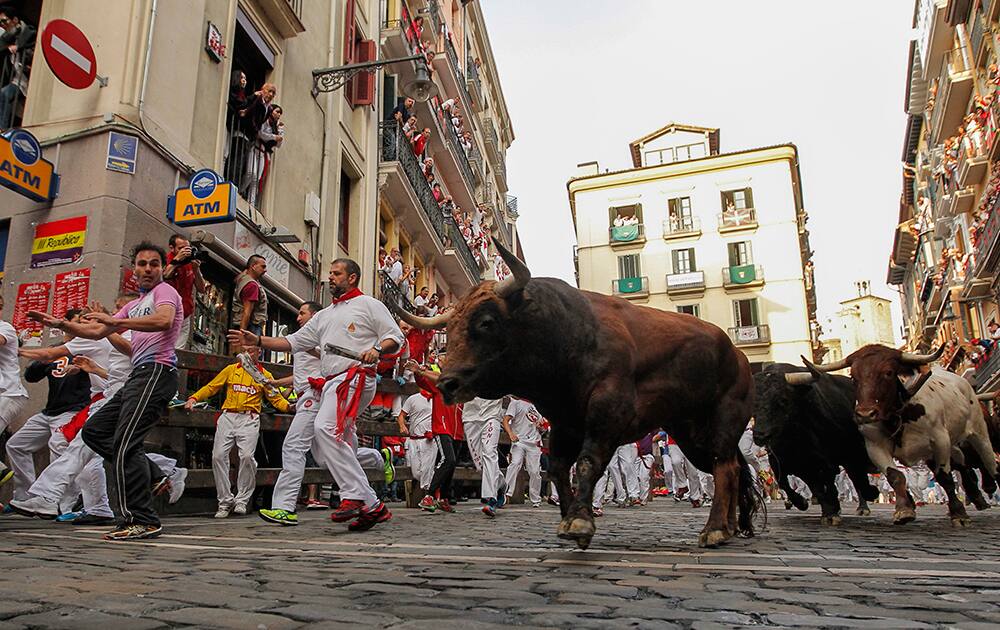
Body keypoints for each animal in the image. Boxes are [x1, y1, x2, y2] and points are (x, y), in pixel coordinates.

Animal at [394, 239, 760, 552]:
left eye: (486, 322)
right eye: (449, 328)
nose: (447, 383)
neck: (567, 336)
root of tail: (738, 356)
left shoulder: (607, 412)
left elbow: (586, 462)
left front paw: (580, 522)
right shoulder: (565, 423)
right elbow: (558, 468)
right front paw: (571, 517)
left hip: (723, 420)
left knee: (724, 467)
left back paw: (714, 529)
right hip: (690, 434)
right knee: (731, 468)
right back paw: (731, 526)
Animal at [808, 346, 996, 528]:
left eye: (889, 372)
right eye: (854, 376)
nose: (865, 414)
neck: (897, 415)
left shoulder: (940, 440)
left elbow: (945, 477)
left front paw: (959, 514)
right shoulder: (875, 446)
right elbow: (895, 476)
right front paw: (904, 510)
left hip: (979, 434)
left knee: (988, 463)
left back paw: (986, 488)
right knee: (962, 463)